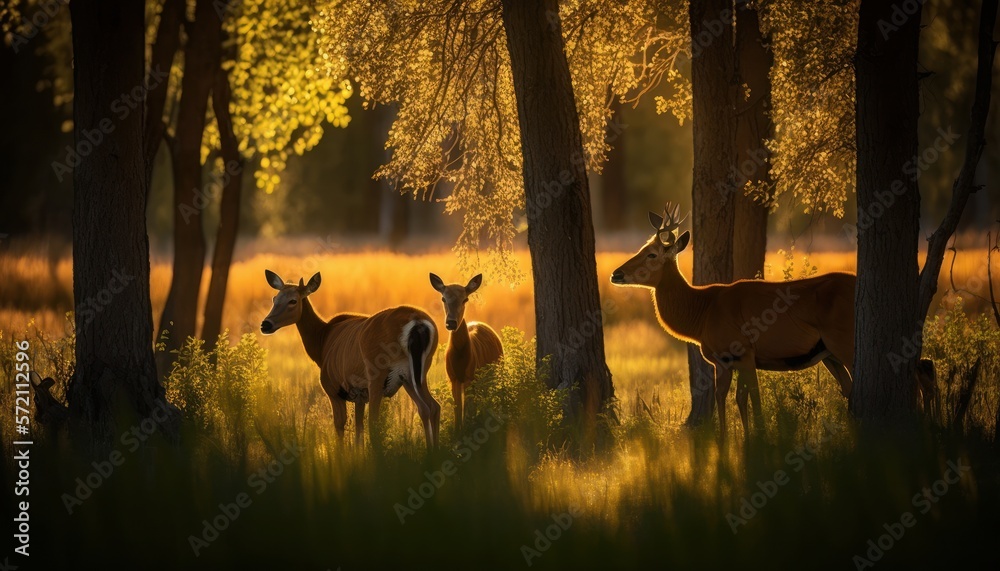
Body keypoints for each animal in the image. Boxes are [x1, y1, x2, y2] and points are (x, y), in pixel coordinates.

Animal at [261, 270, 441, 448]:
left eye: (293, 300)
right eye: (275, 299)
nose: (265, 324)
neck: (322, 342)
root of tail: (418, 323)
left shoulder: (334, 388)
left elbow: (340, 426)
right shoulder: (359, 395)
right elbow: (358, 429)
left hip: (378, 373)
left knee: (376, 422)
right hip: (414, 373)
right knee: (431, 407)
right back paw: (433, 451)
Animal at [429, 273, 504, 432]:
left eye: (465, 299)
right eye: (443, 298)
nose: (451, 322)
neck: (459, 357)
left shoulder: (469, 375)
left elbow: (467, 408)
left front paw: (467, 429)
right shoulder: (453, 377)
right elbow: (458, 408)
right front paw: (458, 431)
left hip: (497, 371)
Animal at [610, 203, 936, 441]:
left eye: (651, 254)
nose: (616, 273)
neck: (702, 313)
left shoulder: (744, 350)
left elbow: (750, 397)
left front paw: (757, 438)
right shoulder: (724, 360)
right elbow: (728, 398)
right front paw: (728, 440)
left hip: (848, 339)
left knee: (916, 370)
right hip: (828, 352)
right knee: (882, 379)